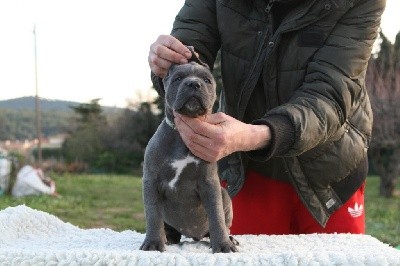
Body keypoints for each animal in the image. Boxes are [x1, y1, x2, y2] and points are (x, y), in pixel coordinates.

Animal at [140, 53, 238, 252]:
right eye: (178, 78)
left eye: (207, 80)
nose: (193, 84)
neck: (180, 134)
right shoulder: (151, 180)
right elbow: (153, 214)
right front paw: (153, 242)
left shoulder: (210, 183)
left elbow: (216, 215)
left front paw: (223, 245)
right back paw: (168, 237)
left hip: (225, 195)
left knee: (223, 221)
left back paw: (227, 238)